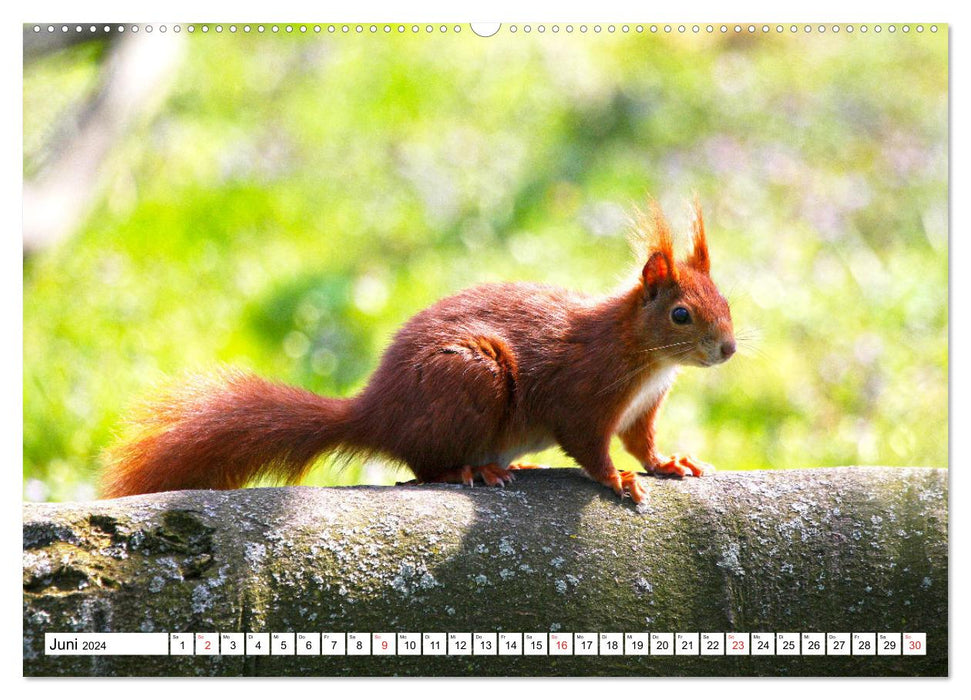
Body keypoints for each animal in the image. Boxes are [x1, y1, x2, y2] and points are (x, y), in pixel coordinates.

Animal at [100, 200, 736, 506]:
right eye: (681, 314)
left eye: (725, 298)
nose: (728, 349)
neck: (645, 357)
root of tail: (377, 412)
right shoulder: (584, 392)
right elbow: (588, 444)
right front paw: (618, 480)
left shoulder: (641, 407)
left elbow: (642, 441)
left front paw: (668, 463)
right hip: (469, 380)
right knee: (423, 466)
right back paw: (471, 469)